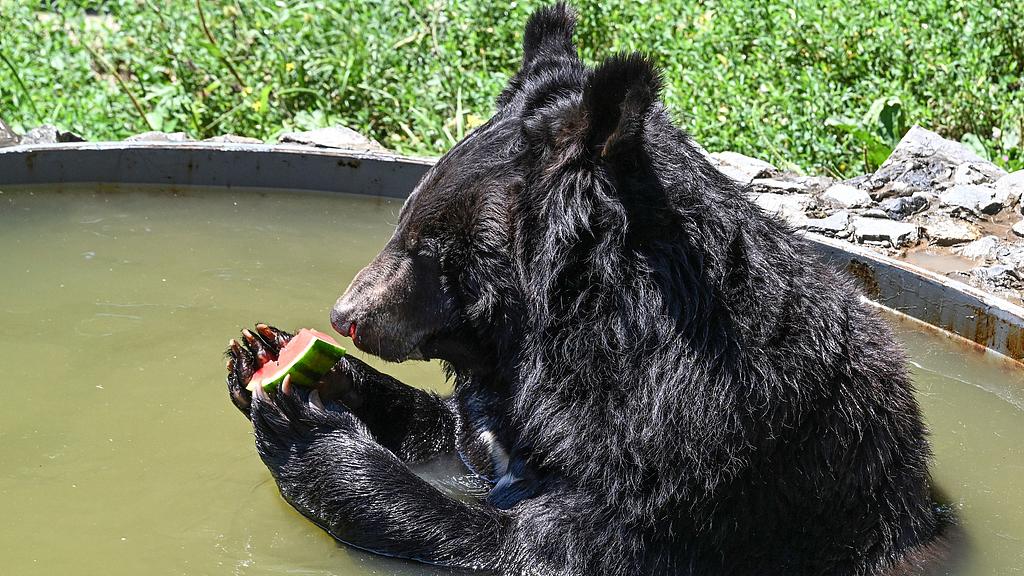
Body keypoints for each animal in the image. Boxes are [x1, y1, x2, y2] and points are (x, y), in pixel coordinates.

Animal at [223, 4, 953, 575]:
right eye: (402, 223)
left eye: (426, 247)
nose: (345, 315)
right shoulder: (506, 420)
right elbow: (454, 433)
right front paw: (279, 356)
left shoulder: (699, 457)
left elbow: (542, 549)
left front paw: (311, 431)